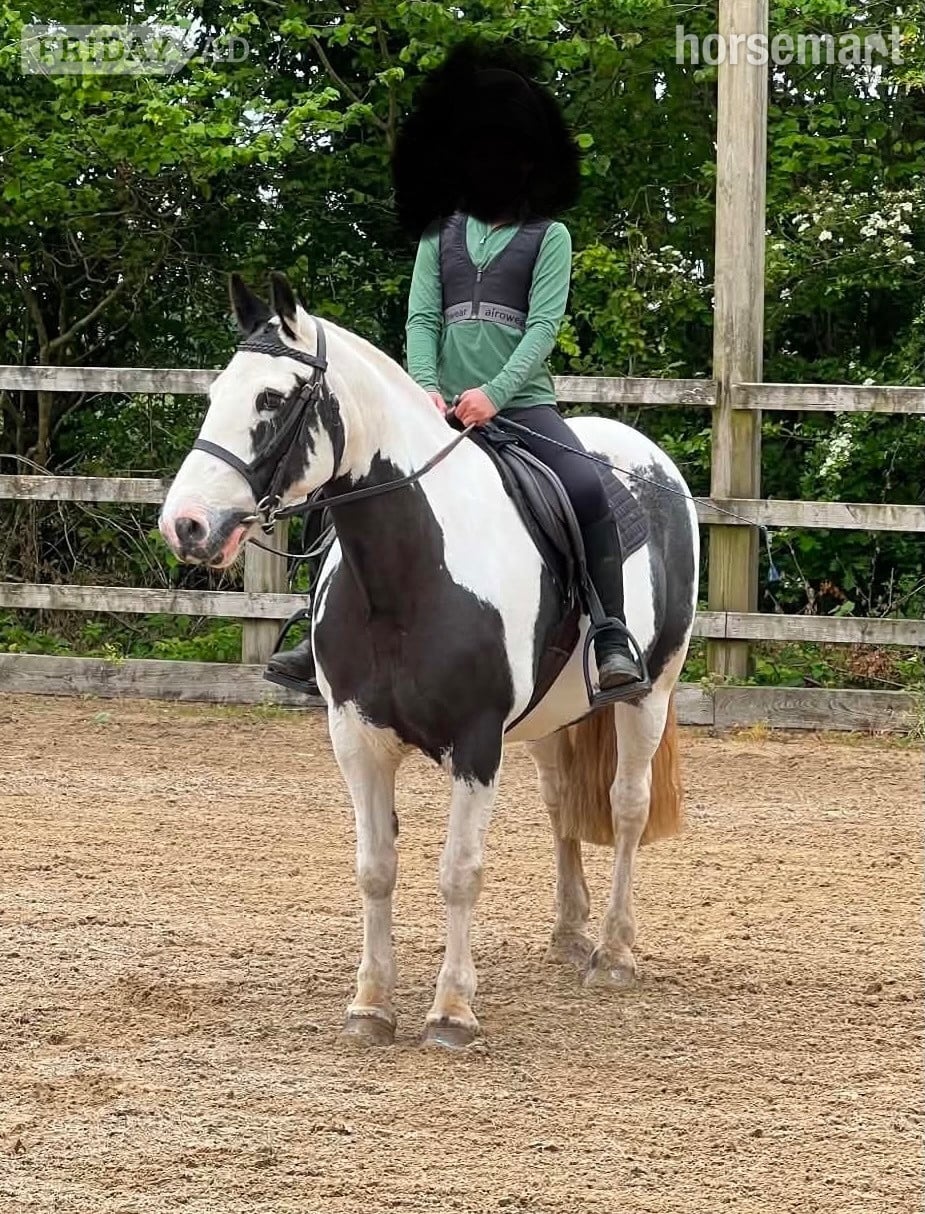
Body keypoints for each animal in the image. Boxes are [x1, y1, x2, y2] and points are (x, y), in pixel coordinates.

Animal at [159, 272, 700, 1049]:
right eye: (214, 395)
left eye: (270, 400)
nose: (186, 525)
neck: (410, 570)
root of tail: (646, 459)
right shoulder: (355, 737)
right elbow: (375, 867)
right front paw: (370, 1005)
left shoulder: (476, 742)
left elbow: (459, 872)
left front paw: (450, 1011)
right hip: (551, 718)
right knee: (561, 804)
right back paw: (570, 933)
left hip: (647, 694)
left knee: (626, 807)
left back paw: (613, 952)